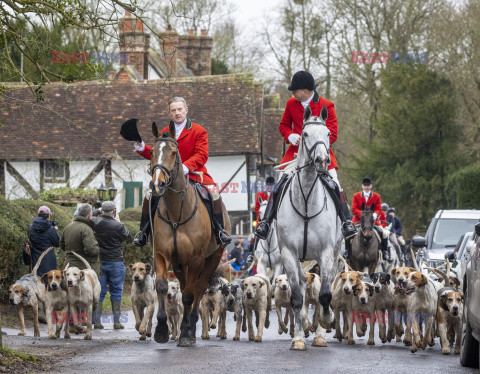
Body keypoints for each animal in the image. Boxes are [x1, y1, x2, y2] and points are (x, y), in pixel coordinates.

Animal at [151, 123, 232, 348]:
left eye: (173, 152)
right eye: (152, 152)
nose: (158, 185)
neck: (176, 212)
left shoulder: (196, 259)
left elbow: (188, 295)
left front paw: (186, 333)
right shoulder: (161, 254)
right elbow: (162, 286)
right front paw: (161, 330)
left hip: (212, 258)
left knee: (198, 288)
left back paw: (192, 327)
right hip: (180, 264)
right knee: (187, 284)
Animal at [274, 105, 342, 350]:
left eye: (328, 134)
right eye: (304, 134)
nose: (322, 161)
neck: (305, 200)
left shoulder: (326, 252)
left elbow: (324, 295)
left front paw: (325, 322)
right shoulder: (288, 253)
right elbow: (296, 297)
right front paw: (298, 338)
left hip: (333, 253)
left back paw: (320, 329)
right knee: (303, 286)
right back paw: (304, 324)